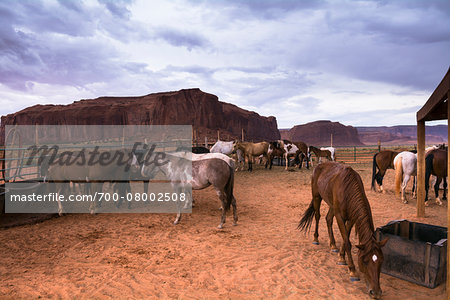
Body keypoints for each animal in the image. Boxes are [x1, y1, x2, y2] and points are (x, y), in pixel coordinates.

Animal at [298, 163, 386, 298]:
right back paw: (316, 238)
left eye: (381, 261)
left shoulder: (351, 218)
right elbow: (348, 241)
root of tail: (318, 166)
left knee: (328, 219)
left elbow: (346, 238)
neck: (348, 189)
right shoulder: (340, 216)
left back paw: (333, 245)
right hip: (317, 197)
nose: (375, 292)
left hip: (331, 205)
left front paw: (341, 257)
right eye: (364, 261)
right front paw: (352, 270)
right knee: (318, 216)